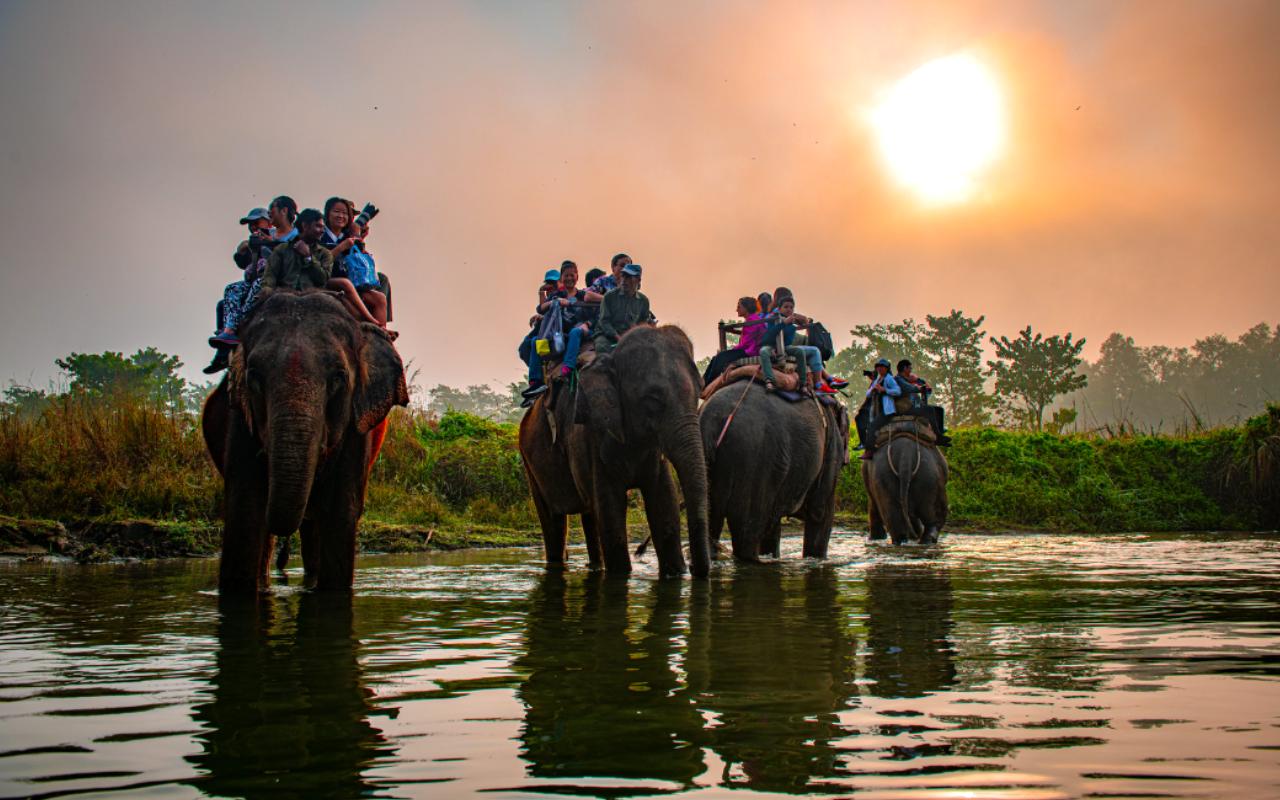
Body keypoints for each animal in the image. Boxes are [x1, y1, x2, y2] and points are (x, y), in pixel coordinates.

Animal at [201, 290, 409, 594]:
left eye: (339, 378)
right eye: (254, 378)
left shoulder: (358, 430)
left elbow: (341, 510)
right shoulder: (239, 419)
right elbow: (244, 508)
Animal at [518, 325, 710, 578]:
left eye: (699, 392)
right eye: (653, 399)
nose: (694, 568)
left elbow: (664, 504)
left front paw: (675, 574)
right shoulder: (588, 434)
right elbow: (610, 511)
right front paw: (621, 576)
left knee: (589, 514)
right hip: (530, 463)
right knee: (554, 523)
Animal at [862, 415, 948, 544]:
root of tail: (905, 455)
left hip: (887, 477)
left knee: (895, 519)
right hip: (930, 477)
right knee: (933, 517)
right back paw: (925, 540)